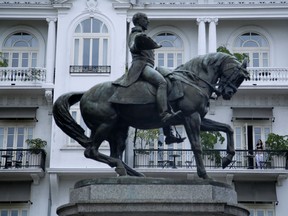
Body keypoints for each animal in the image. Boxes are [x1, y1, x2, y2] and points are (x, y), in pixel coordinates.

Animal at [53, 52, 249, 179]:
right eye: (238, 76)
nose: (228, 93)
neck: (193, 80)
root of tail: (85, 93)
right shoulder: (191, 117)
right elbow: (196, 146)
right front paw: (204, 174)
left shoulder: (198, 118)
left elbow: (228, 128)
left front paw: (227, 159)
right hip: (106, 125)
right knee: (91, 152)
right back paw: (125, 170)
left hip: (119, 129)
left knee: (114, 155)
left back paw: (134, 174)